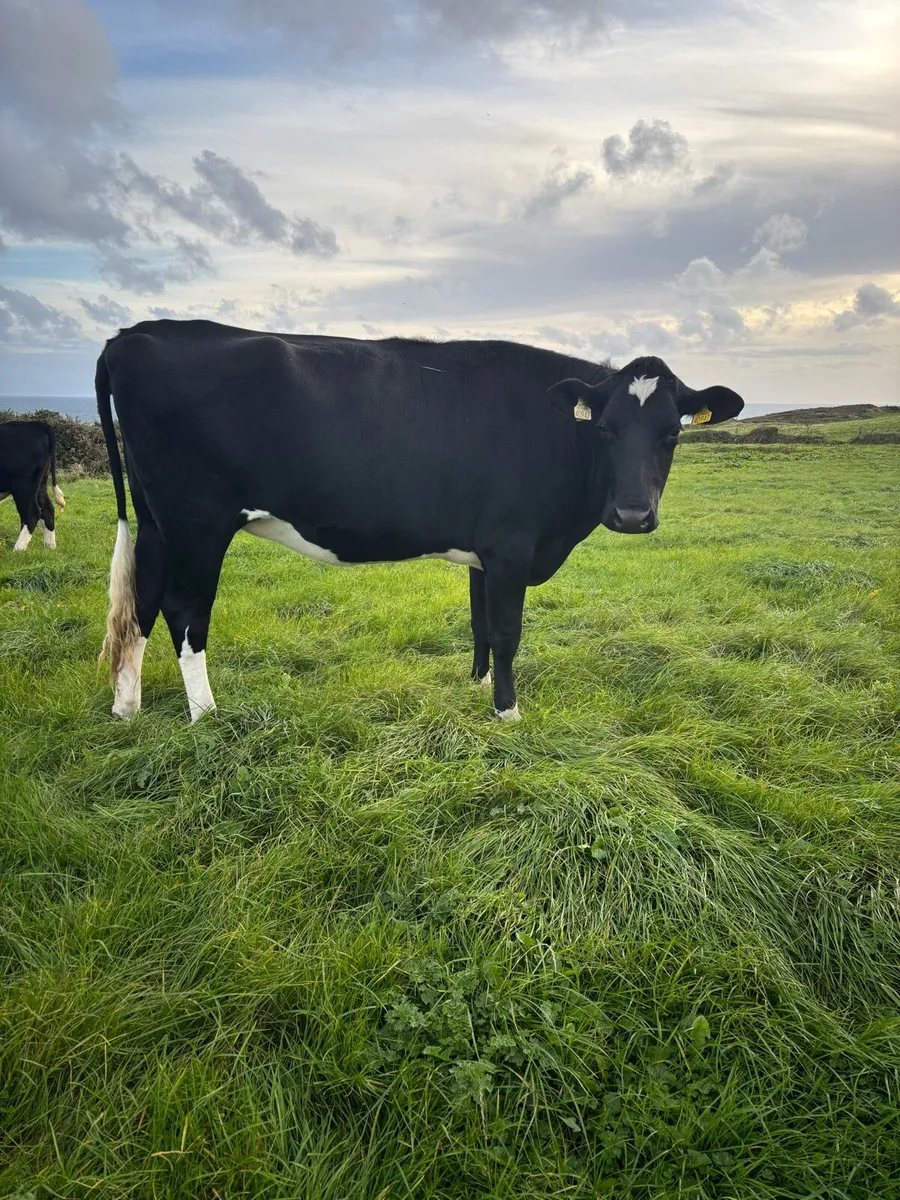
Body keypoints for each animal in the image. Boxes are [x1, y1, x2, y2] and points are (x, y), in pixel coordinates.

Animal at [0, 420, 65, 551]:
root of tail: (35, 424)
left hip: (24, 485)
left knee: (31, 514)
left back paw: (18, 549)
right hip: (41, 483)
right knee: (47, 508)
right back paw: (49, 546)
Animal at [95, 320, 743, 723]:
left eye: (671, 434)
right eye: (604, 429)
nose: (633, 514)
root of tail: (135, 333)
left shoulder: (487, 550)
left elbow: (480, 623)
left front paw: (478, 687)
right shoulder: (512, 545)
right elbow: (507, 631)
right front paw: (508, 710)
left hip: (156, 520)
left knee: (141, 602)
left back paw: (126, 709)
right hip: (196, 522)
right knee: (184, 610)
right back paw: (206, 715)